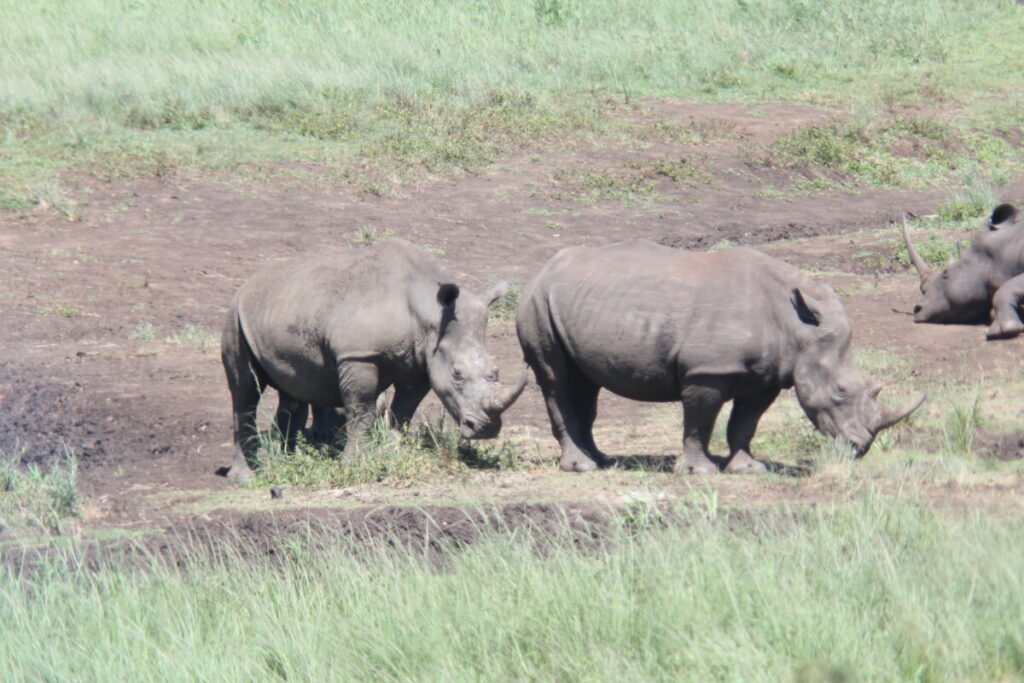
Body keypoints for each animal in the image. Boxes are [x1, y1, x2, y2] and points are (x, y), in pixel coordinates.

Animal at [224, 239, 528, 481]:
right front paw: (352, 465)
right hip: (235, 314)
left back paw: (288, 459)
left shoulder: (421, 362)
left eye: (495, 371)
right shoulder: (358, 356)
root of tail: (247, 284)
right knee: (245, 390)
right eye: (457, 374)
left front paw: (392, 450)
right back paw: (245, 477)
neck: (429, 311)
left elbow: (404, 411)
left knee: (292, 387)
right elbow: (362, 412)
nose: (485, 429)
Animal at [516, 241, 925, 475]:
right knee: (556, 379)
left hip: (575, 302)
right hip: (538, 302)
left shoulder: (769, 376)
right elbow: (701, 422)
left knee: (586, 383)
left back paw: (602, 460)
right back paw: (582, 467)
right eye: (840, 391)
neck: (798, 327)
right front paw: (700, 472)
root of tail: (544, 268)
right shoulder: (707, 371)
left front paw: (748, 469)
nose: (861, 448)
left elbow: (745, 423)